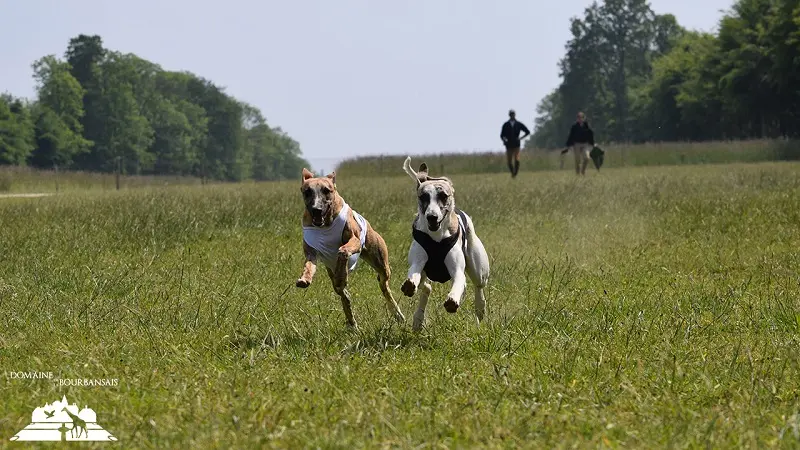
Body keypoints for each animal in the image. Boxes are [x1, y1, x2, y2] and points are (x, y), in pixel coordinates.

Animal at [296, 167, 404, 328]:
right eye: (307, 191)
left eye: (326, 190)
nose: (316, 209)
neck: (325, 225)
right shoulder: (311, 253)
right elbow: (309, 266)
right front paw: (304, 279)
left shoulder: (355, 241)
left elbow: (343, 250)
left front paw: (342, 274)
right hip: (332, 273)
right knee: (343, 295)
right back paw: (351, 322)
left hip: (380, 261)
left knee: (384, 284)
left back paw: (396, 313)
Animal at [398, 156, 488, 330]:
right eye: (423, 197)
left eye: (443, 196)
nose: (432, 217)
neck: (436, 237)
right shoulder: (418, 262)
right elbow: (414, 274)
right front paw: (409, 285)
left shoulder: (457, 270)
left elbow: (459, 282)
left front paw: (452, 301)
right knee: (426, 287)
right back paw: (418, 320)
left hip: (478, 268)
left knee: (478, 286)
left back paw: (479, 308)